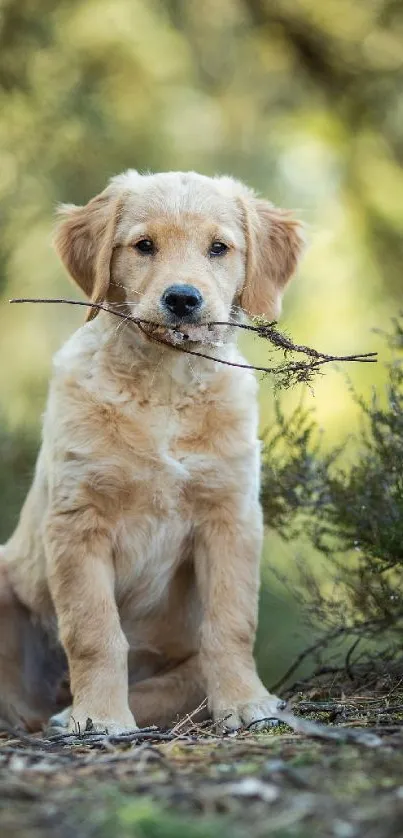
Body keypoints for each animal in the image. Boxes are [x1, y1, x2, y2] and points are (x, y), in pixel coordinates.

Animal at [0, 172, 304, 736]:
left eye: (218, 248)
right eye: (144, 246)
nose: (182, 299)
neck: (165, 384)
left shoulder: (230, 515)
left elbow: (232, 622)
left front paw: (245, 702)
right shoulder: (77, 520)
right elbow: (94, 631)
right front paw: (99, 717)